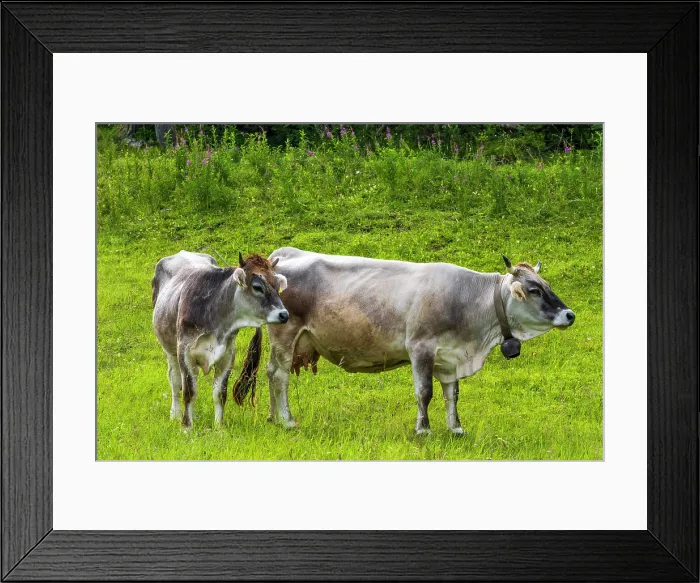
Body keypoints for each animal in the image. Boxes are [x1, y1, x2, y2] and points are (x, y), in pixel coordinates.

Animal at [152, 250, 289, 428]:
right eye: (257, 287)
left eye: (278, 285)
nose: (284, 314)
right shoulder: (185, 353)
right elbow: (189, 391)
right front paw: (186, 426)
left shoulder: (227, 355)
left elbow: (220, 393)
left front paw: (219, 426)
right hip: (170, 350)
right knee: (175, 382)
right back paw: (175, 414)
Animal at [231, 247, 575, 435]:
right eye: (534, 290)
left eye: (547, 284)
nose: (570, 314)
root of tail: (284, 255)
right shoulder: (420, 347)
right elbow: (425, 393)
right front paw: (423, 429)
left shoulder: (450, 356)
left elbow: (452, 394)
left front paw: (456, 428)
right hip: (285, 334)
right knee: (278, 375)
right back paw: (286, 420)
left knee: (273, 374)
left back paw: (274, 418)